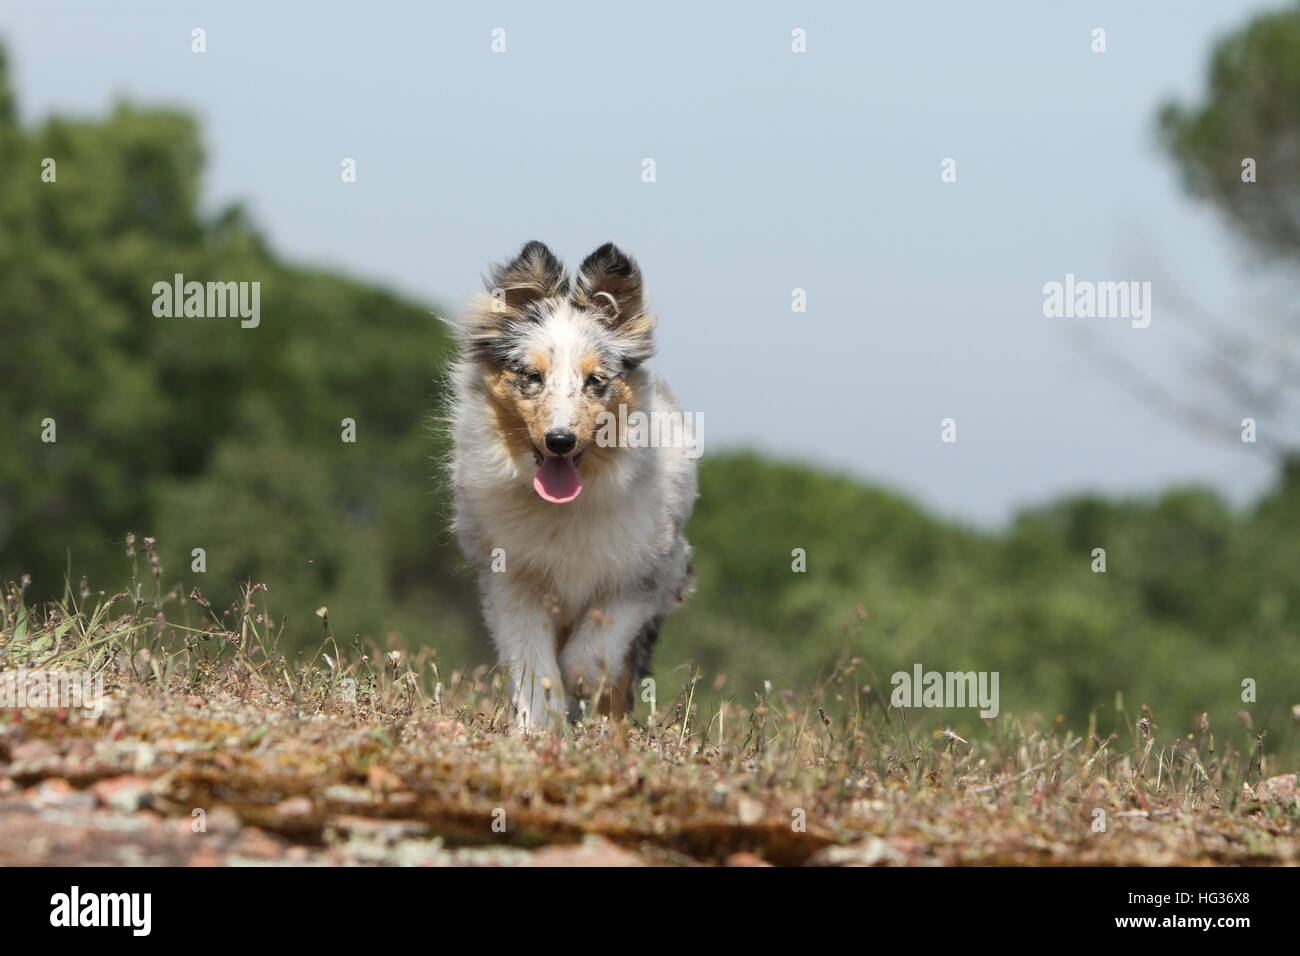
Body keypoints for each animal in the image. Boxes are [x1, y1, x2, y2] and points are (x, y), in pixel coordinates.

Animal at [444, 243, 696, 728]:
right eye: (532, 376)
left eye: (594, 381)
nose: (560, 440)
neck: (563, 506)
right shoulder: (513, 577)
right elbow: (532, 659)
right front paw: (540, 724)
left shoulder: (643, 576)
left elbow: (591, 656)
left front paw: (580, 691)